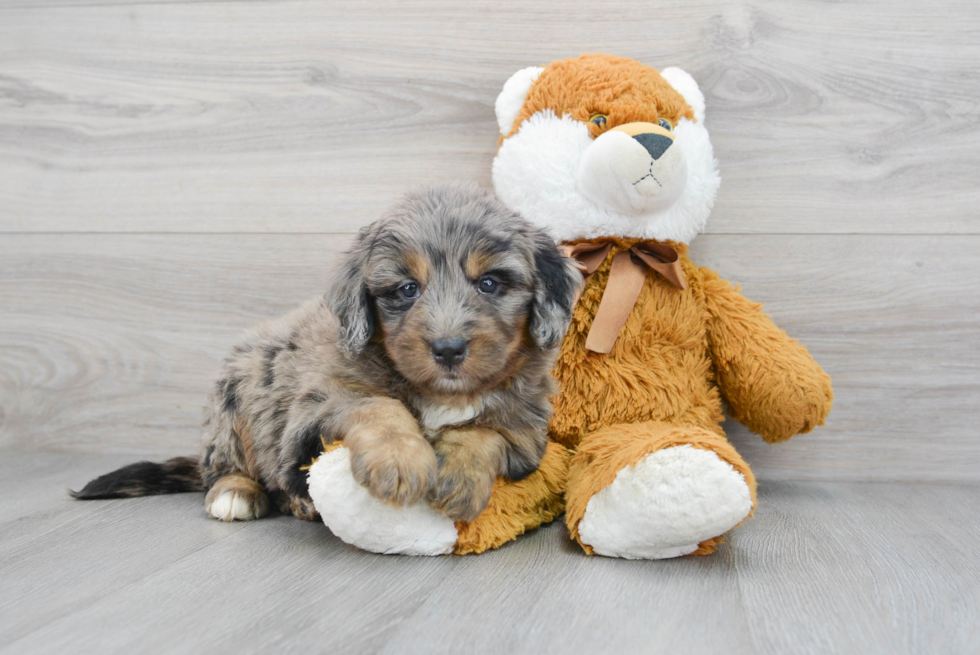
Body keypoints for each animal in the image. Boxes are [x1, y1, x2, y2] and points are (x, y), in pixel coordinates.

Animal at [76, 184, 580, 524]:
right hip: (233, 400)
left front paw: (459, 476)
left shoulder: (526, 430)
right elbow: (378, 405)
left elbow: (483, 432)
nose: (449, 349)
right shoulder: (319, 404)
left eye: (490, 283)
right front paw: (400, 460)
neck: (441, 393)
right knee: (228, 467)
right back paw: (238, 494)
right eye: (407, 289)